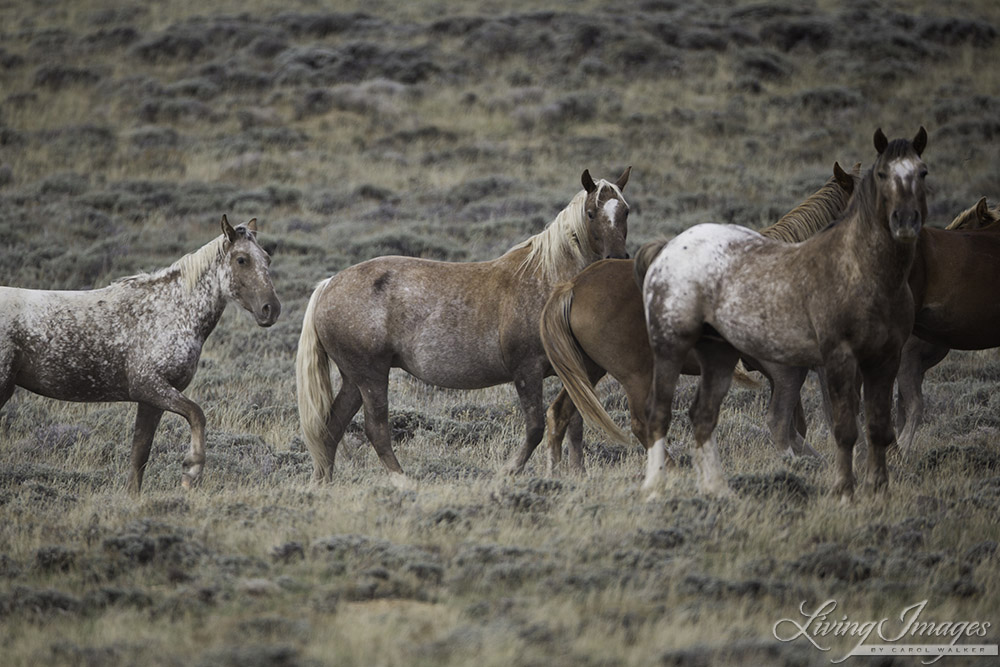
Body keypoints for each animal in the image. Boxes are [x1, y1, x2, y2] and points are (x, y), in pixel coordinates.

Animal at [0, 217, 282, 494]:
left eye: (267, 258)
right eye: (242, 259)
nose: (271, 309)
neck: (170, 312)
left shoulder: (151, 401)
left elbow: (140, 455)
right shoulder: (148, 386)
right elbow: (196, 414)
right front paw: (191, 471)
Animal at [292, 170, 628, 488]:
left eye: (626, 210)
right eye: (590, 213)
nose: (616, 260)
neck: (547, 281)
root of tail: (328, 285)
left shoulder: (575, 372)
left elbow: (576, 422)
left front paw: (577, 474)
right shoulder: (527, 371)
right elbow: (535, 428)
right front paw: (507, 472)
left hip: (354, 380)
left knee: (332, 427)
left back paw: (323, 482)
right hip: (371, 376)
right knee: (375, 429)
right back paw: (403, 480)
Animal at [540, 162, 860, 474]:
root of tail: (574, 285)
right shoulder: (800, 368)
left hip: (588, 369)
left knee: (561, 413)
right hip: (635, 375)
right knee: (643, 424)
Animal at [636, 128, 924, 498]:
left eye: (921, 174)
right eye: (881, 178)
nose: (905, 220)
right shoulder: (821, 364)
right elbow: (833, 417)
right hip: (782, 370)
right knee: (771, 421)